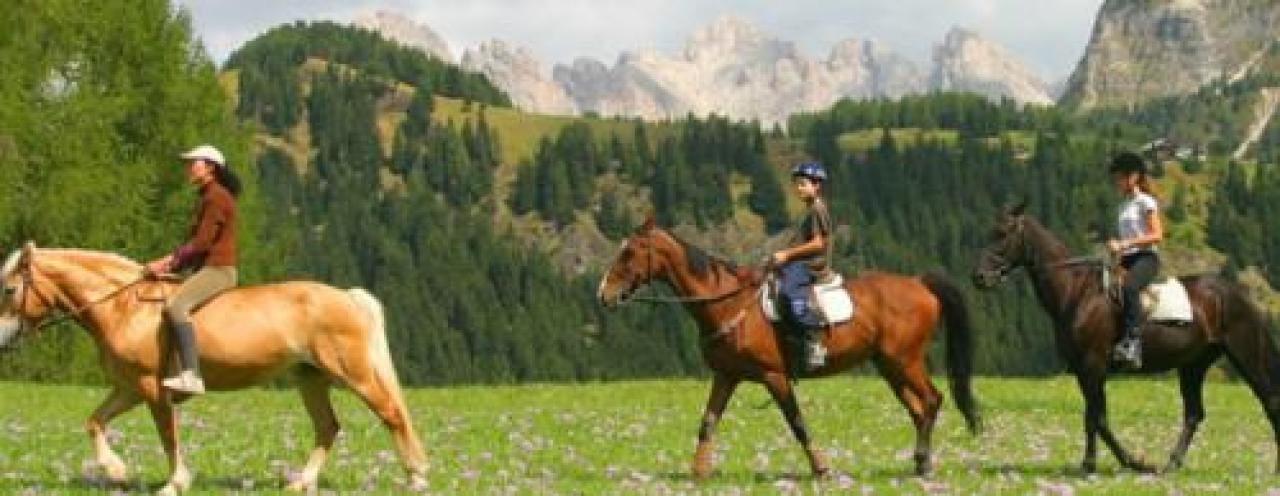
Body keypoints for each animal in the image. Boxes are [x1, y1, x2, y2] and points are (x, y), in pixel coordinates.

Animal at [0, 242, 427, 494]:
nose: (3, 338)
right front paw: (116, 471)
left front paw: (174, 483)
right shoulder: (128, 388)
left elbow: (168, 435)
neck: (125, 308)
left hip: (353, 374)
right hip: (311, 379)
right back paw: (301, 483)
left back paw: (416, 477)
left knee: (391, 415)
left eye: (9, 289)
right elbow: (94, 422)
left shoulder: (150, 388)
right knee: (328, 427)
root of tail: (346, 297)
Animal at [597, 217, 981, 477]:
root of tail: (920, 283)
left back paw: (924, 463)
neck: (729, 303)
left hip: (905, 361)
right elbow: (707, 422)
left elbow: (797, 422)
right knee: (918, 409)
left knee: (931, 401)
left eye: (629, 253)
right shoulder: (726, 376)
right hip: (889, 366)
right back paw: (919, 462)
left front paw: (821, 468)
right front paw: (698, 472)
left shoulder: (774, 376)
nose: (603, 294)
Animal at [972, 202, 1280, 474]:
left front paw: (1116, 464)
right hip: (1193, 365)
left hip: (1246, 356)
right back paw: (1170, 465)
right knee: (1194, 413)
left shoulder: (1093, 366)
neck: (1077, 292)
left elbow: (1096, 418)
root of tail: (1238, 294)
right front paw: (1112, 463)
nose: (979, 277)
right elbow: (1095, 417)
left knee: (1270, 401)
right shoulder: (1083, 370)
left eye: (1003, 234)